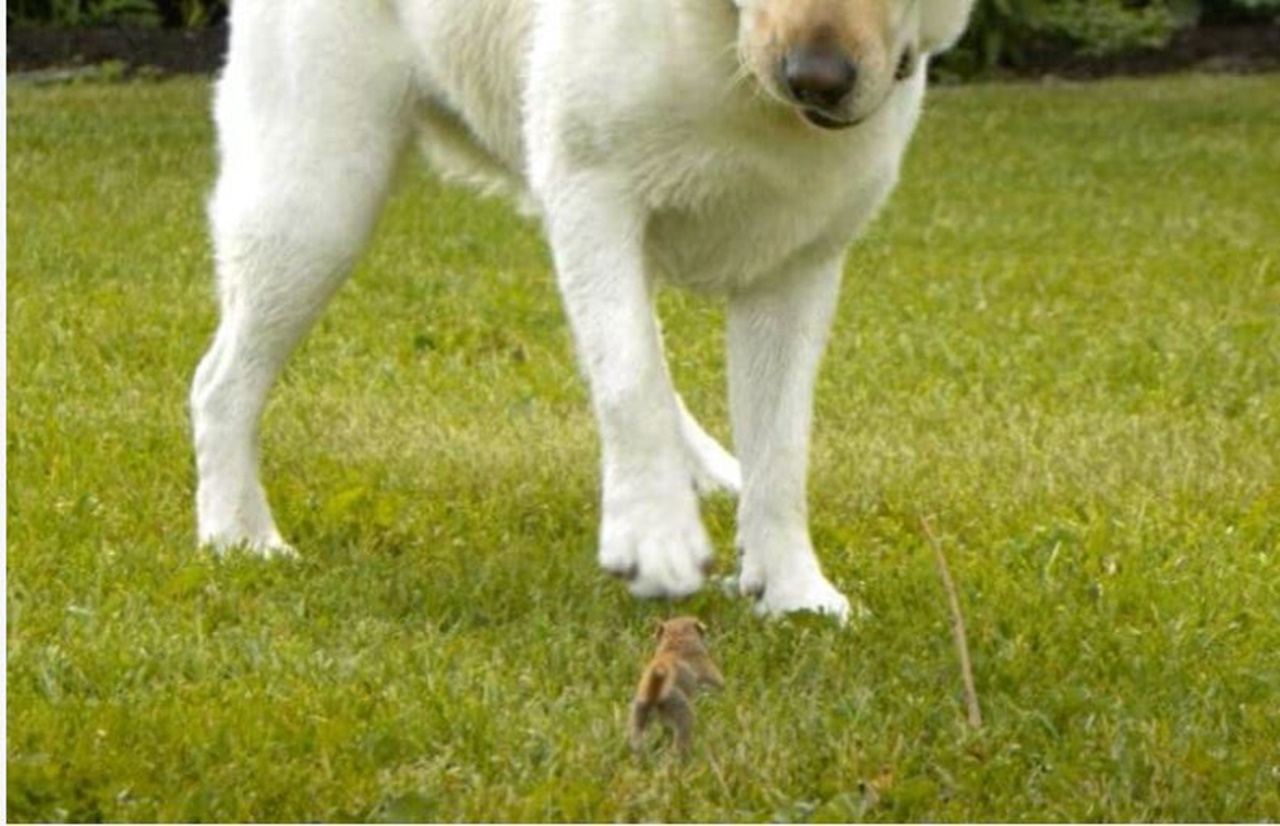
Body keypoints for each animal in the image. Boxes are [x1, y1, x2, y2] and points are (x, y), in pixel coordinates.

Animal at [189, 0, 967, 619]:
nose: (816, 79)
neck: (725, 48)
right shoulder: (596, 198)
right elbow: (631, 380)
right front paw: (653, 536)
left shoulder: (795, 266)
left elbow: (780, 444)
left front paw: (794, 592)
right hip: (315, 200)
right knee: (219, 384)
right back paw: (238, 536)